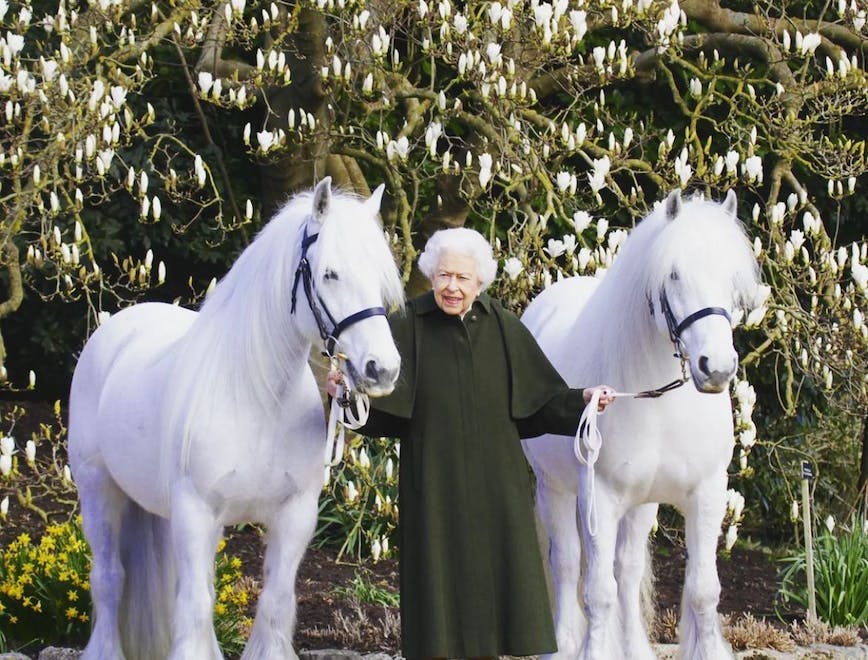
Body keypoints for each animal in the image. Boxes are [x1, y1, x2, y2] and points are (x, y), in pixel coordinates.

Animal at [69, 178, 406, 660]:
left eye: (380, 279)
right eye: (330, 274)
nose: (382, 370)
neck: (258, 399)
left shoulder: (294, 515)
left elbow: (274, 602)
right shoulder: (196, 512)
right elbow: (194, 606)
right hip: (98, 488)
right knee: (110, 579)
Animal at [524, 188, 760, 656]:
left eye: (730, 277)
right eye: (674, 274)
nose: (717, 367)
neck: (660, 404)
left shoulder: (707, 494)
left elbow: (703, 591)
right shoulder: (597, 496)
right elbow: (597, 592)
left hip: (641, 504)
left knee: (628, 569)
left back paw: (634, 647)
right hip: (554, 488)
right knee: (567, 564)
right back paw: (562, 644)